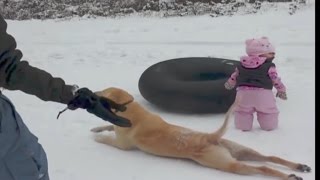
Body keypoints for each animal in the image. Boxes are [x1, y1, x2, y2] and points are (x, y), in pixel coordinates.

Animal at [90, 87, 310, 179]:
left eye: (102, 92)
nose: (90, 93)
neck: (131, 110)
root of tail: (211, 137)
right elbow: (108, 126)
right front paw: (97, 128)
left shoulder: (122, 145)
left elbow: (109, 139)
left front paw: (98, 136)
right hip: (241, 151)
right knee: (270, 158)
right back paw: (299, 167)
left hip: (230, 165)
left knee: (263, 168)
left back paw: (290, 176)